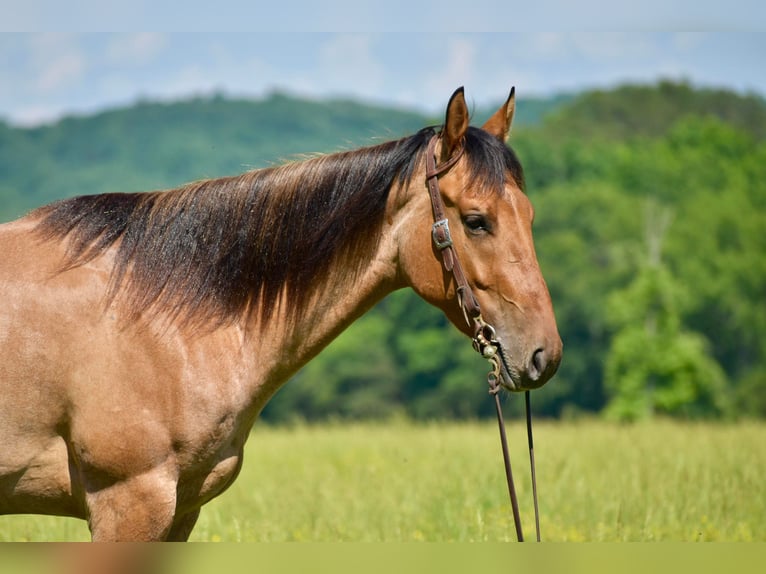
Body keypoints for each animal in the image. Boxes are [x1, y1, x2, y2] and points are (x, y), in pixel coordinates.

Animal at [0, 88, 564, 544]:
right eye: (476, 220)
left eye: (531, 215)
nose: (545, 355)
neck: (164, 321)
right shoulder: (129, 503)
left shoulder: (180, 511)